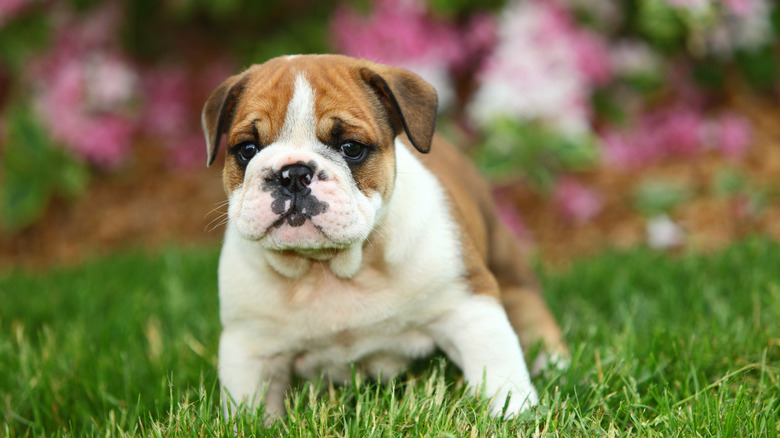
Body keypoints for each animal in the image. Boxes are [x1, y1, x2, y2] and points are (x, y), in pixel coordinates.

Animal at [201, 54, 568, 420]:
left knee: (527, 303)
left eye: (351, 148)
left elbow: (498, 368)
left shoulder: (467, 306)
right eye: (247, 149)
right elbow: (249, 405)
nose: (293, 174)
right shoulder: (250, 345)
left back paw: (554, 361)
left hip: (504, 259)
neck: (329, 267)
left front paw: (515, 413)